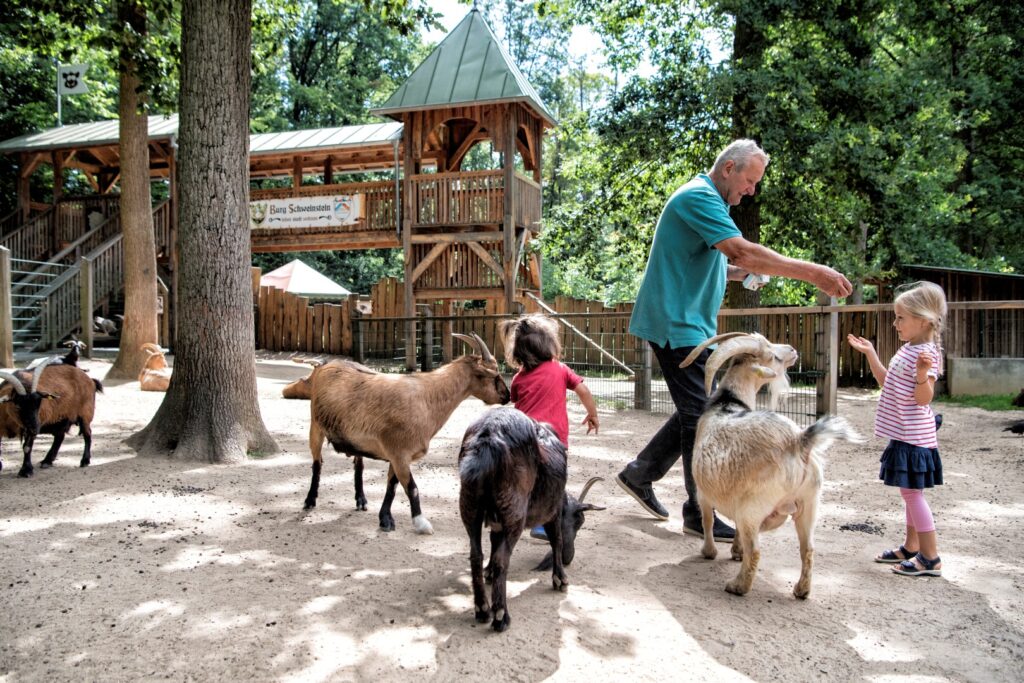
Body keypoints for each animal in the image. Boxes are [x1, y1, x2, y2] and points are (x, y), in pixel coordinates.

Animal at [303, 333, 512, 536]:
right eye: (494, 375)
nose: (507, 396)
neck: (427, 398)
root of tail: (327, 366)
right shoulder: (399, 454)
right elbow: (412, 488)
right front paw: (421, 524)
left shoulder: (398, 456)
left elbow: (392, 486)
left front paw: (385, 519)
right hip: (316, 426)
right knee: (317, 463)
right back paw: (310, 501)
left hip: (355, 441)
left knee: (358, 464)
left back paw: (361, 500)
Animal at [460, 405, 602, 634]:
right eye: (580, 521)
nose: (569, 557)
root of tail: (489, 436)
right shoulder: (553, 511)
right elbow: (556, 539)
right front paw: (560, 579)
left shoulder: (496, 523)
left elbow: (493, 542)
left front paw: (488, 573)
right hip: (514, 511)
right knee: (502, 559)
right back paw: (501, 615)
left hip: (469, 504)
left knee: (476, 555)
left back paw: (482, 609)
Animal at [684, 331, 860, 598]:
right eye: (774, 356)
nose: (793, 350)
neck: (726, 404)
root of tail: (798, 442)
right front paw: (736, 552)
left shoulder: (704, 494)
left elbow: (708, 520)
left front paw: (709, 552)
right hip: (809, 503)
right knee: (808, 548)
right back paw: (801, 590)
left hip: (753, 505)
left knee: (756, 550)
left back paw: (738, 586)